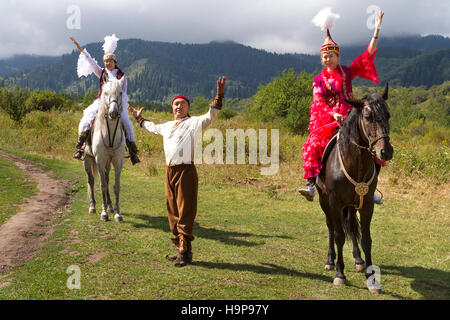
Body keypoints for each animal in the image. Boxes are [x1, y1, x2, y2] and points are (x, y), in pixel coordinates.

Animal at [83, 77, 125, 222]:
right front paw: (104, 213)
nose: (113, 113)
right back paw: (92, 207)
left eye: (120, 93)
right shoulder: (99, 160)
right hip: (88, 159)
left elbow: (116, 186)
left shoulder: (117, 161)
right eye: (106, 93)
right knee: (91, 180)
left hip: (108, 163)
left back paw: (110, 206)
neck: (110, 133)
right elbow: (102, 186)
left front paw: (117, 213)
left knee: (106, 178)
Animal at [316, 84, 394, 294]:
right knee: (330, 227)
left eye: (388, 115)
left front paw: (371, 277)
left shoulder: (366, 204)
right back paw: (330, 261)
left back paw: (358, 260)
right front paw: (340, 274)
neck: (355, 163)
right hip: (324, 200)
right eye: (367, 117)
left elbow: (366, 239)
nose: (386, 151)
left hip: (351, 205)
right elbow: (339, 236)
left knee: (351, 225)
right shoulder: (334, 203)